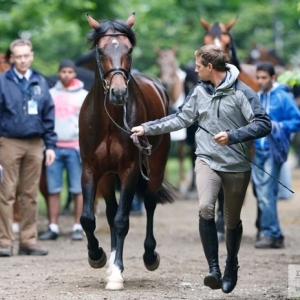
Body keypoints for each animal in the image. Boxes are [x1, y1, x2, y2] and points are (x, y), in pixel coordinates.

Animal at [78, 12, 175, 290]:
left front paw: (117, 275)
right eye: (100, 51)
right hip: (108, 176)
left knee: (150, 203)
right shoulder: (91, 169)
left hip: (155, 166)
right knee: (111, 211)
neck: (110, 121)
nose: (118, 93)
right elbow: (89, 218)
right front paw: (98, 256)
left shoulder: (130, 169)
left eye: (129, 49)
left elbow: (123, 221)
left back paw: (149, 256)